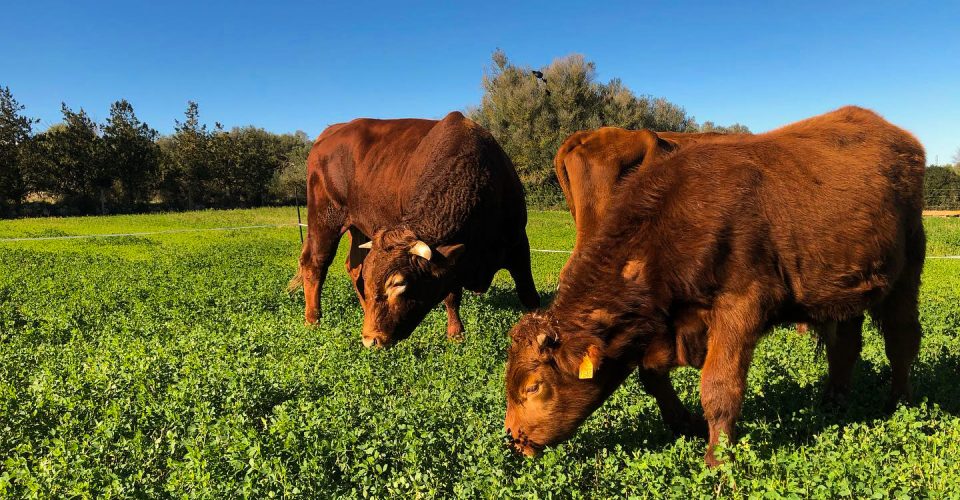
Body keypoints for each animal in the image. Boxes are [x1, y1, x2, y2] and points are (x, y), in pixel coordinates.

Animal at [290, 111, 540, 347]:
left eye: (399, 284)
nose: (371, 339)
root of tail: (333, 130)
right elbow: (451, 295)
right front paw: (456, 334)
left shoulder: (518, 244)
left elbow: (529, 295)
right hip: (324, 219)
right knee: (314, 263)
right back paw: (313, 320)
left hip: (358, 227)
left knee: (353, 267)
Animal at [504, 106, 926, 467]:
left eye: (533, 387)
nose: (513, 439)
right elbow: (653, 374)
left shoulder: (740, 306)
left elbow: (720, 388)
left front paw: (718, 460)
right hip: (845, 287)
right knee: (845, 345)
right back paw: (834, 402)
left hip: (907, 270)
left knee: (901, 338)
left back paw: (899, 403)